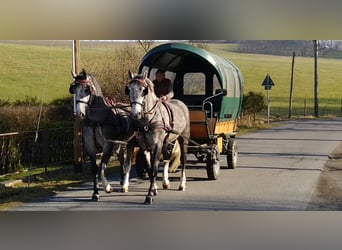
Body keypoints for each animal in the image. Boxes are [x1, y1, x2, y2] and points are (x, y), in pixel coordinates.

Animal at [69, 69, 136, 202]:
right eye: (74, 89)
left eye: (86, 90)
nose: (79, 113)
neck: (96, 119)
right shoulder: (90, 145)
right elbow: (95, 168)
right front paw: (95, 193)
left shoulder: (108, 145)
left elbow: (102, 167)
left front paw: (107, 187)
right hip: (118, 143)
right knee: (121, 157)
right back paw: (122, 180)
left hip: (129, 142)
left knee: (128, 161)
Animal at [125, 71, 191, 205]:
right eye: (128, 89)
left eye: (143, 90)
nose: (135, 114)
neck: (148, 120)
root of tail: (181, 103)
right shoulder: (145, 147)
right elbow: (150, 169)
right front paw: (154, 189)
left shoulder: (156, 146)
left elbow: (154, 170)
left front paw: (149, 196)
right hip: (167, 141)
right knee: (166, 158)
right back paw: (165, 182)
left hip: (183, 140)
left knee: (183, 160)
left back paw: (182, 184)